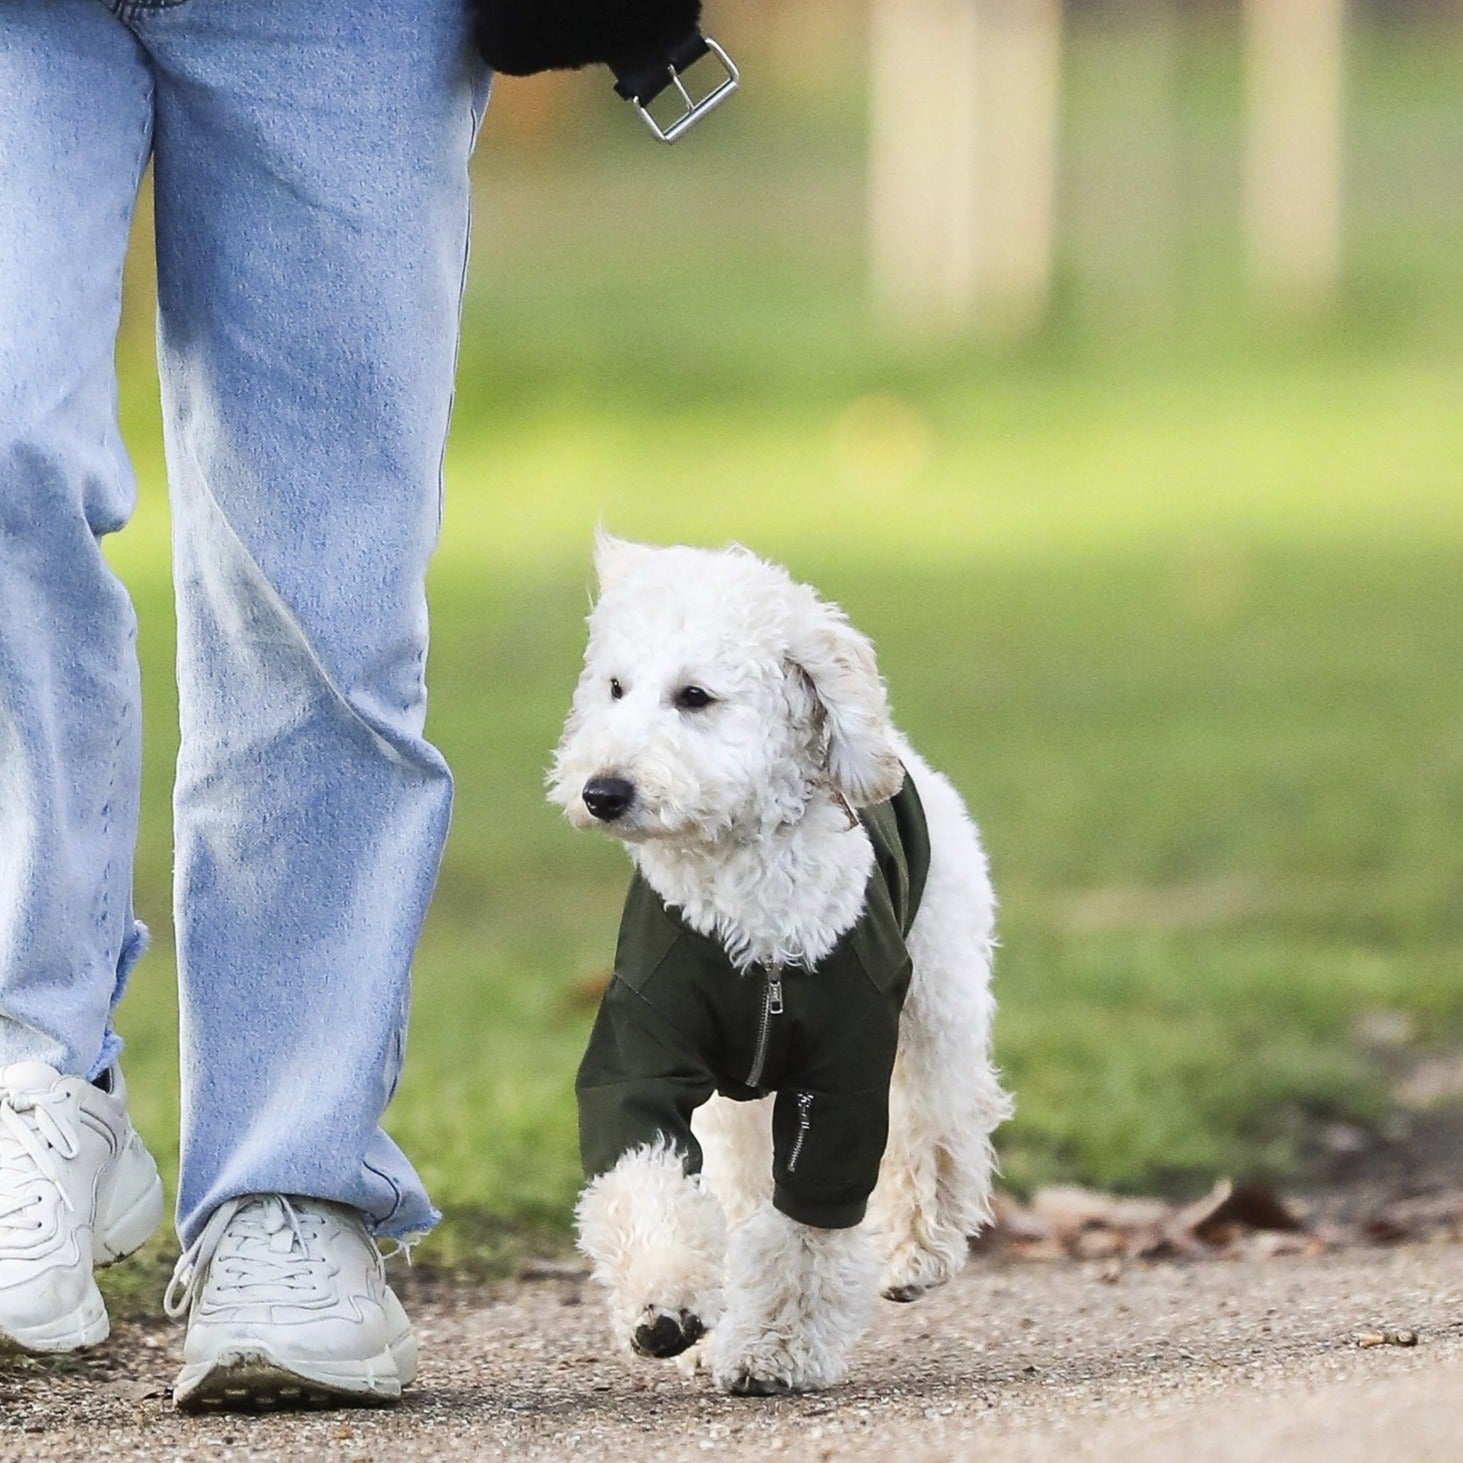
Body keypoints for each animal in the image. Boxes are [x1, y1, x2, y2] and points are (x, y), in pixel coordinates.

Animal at [544, 538, 1012, 1392]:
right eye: (614, 687)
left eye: (694, 695)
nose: (602, 791)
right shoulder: (642, 1045)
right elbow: (643, 1169)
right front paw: (665, 1304)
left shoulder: (841, 1073)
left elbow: (807, 1222)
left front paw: (772, 1347)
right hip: (735, 1106)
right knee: (735, 1185)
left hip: (937, 1001)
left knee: (936, 1123)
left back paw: (915, 1252)